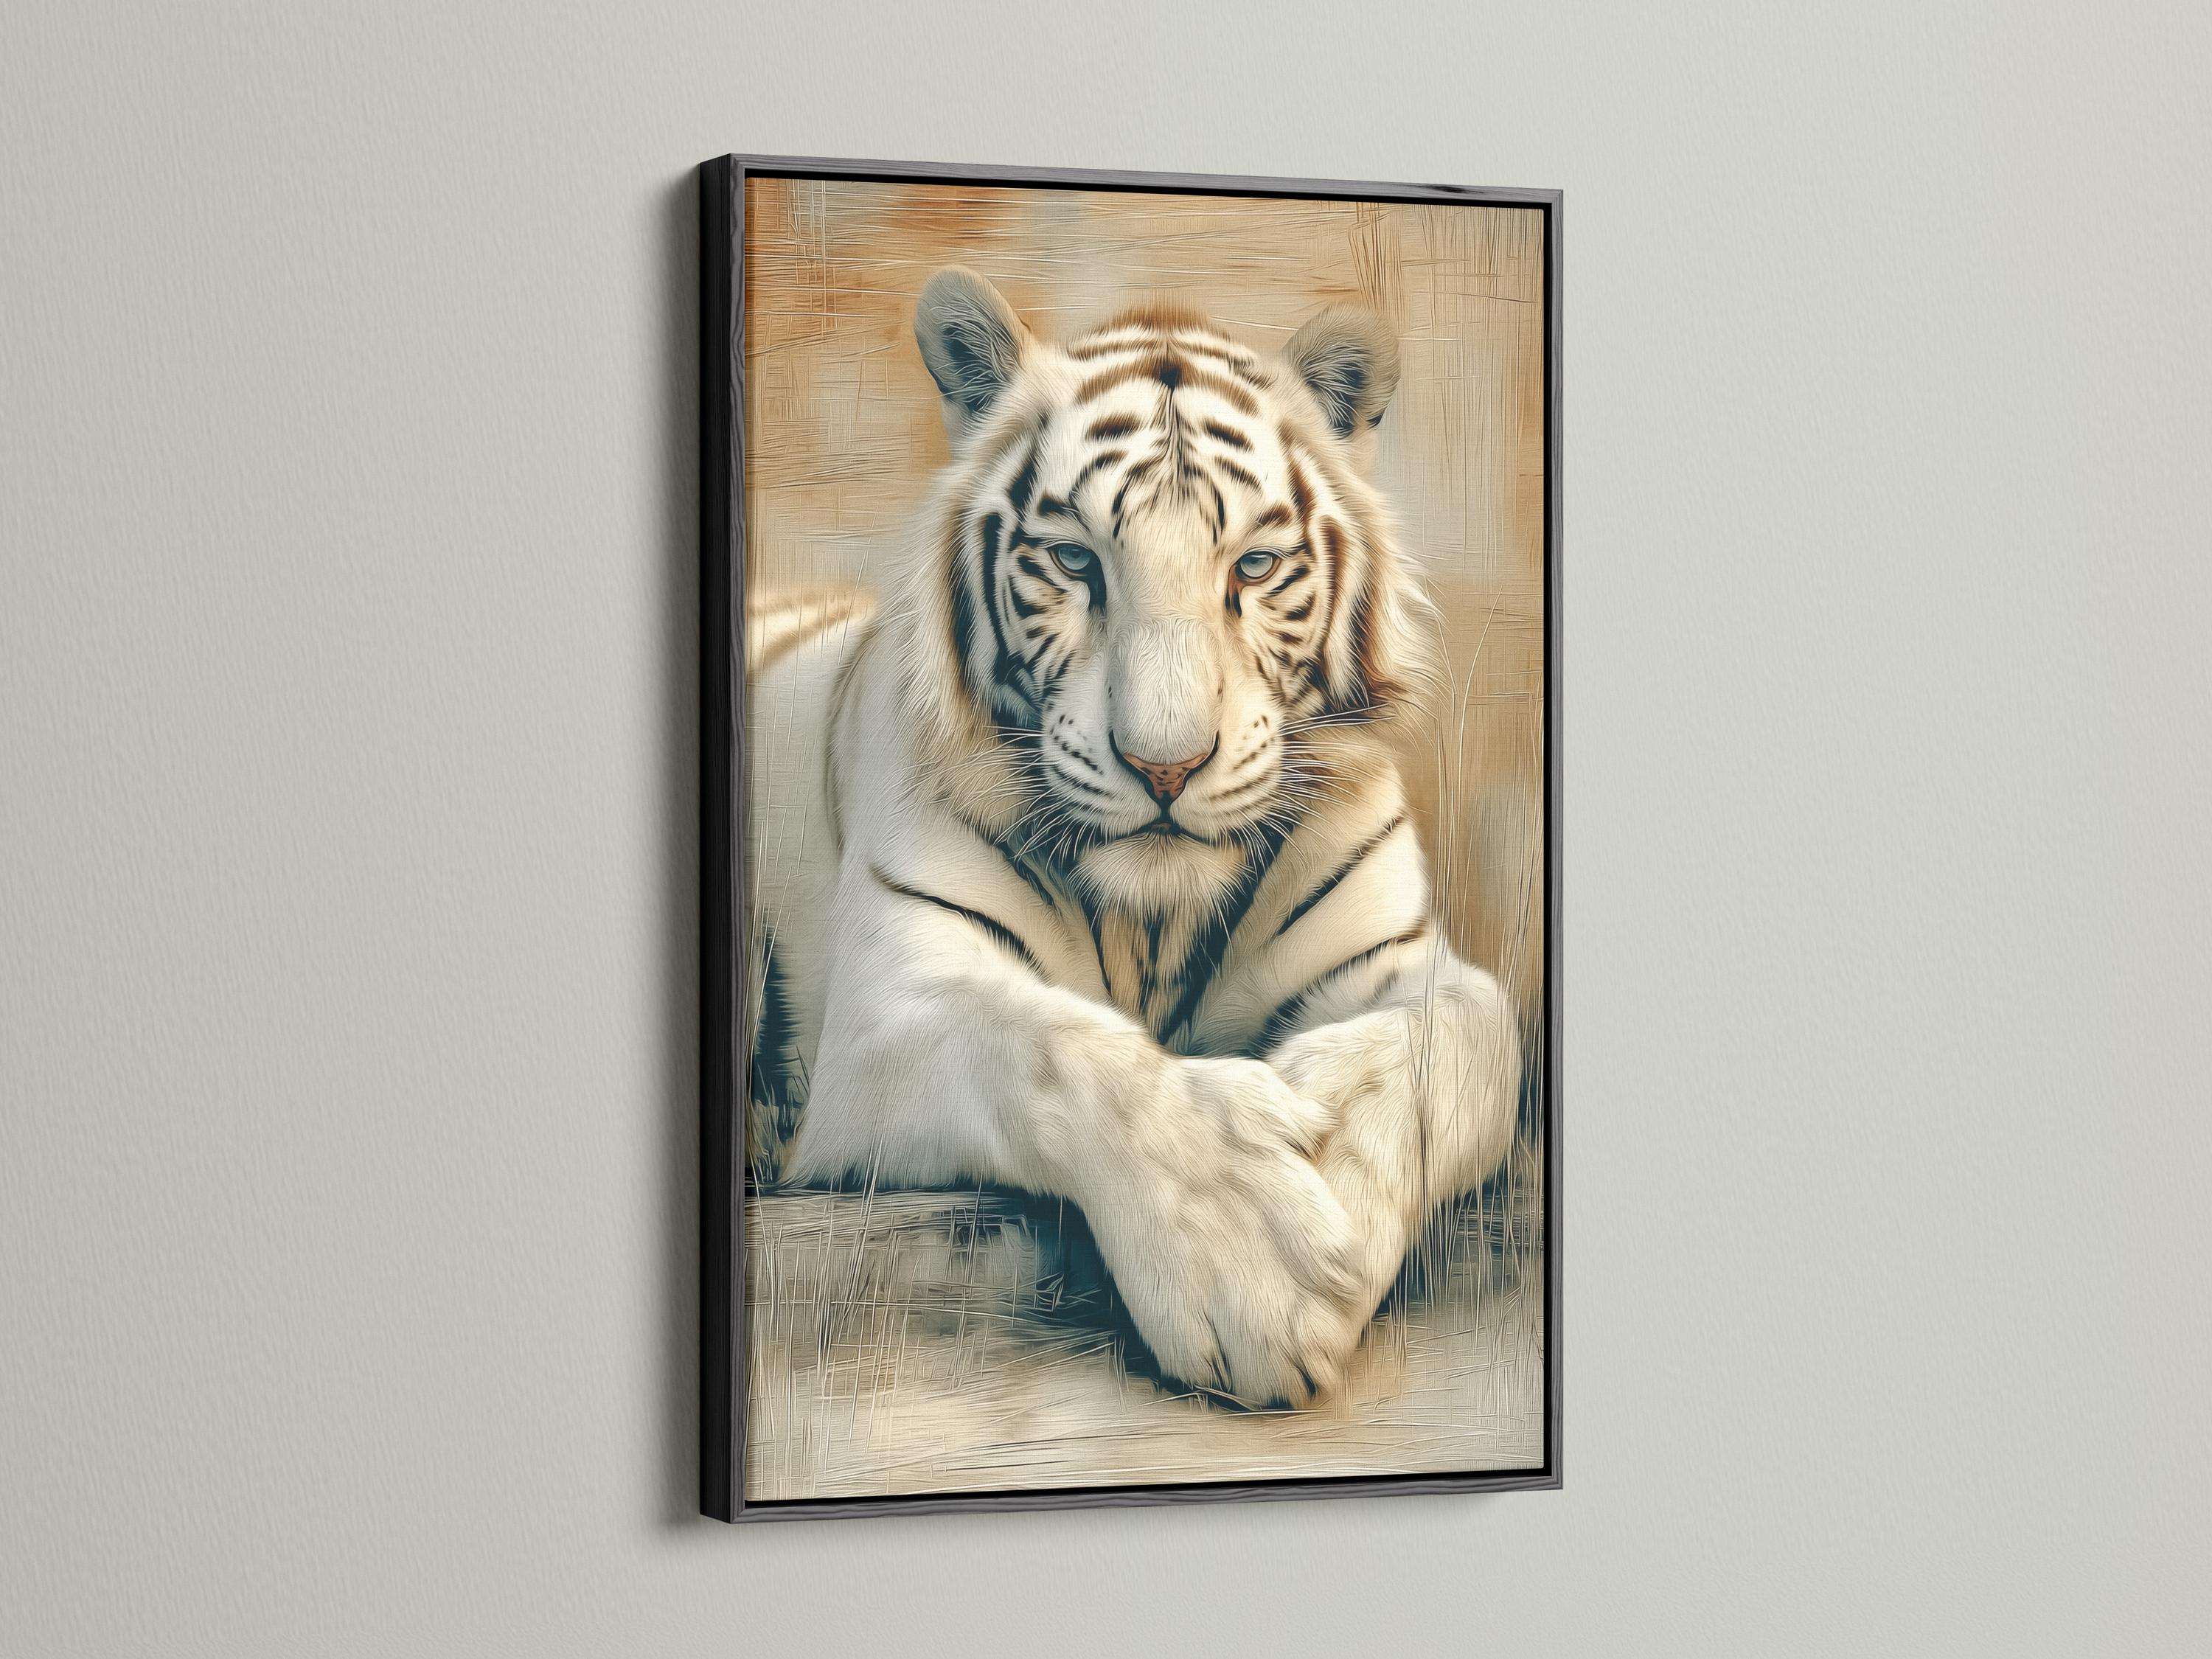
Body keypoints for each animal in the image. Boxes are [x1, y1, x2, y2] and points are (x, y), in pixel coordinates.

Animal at [743, 267, 1521, 1409]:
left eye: (1254, 565)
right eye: (1074, 560)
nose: (1166, 767)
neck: (1154, 918)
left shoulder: (1403, 962)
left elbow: (1466, 1039)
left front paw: (1330, 1147)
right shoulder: (889, 1013)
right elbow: (1055, 1047)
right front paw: (1257, 1259)